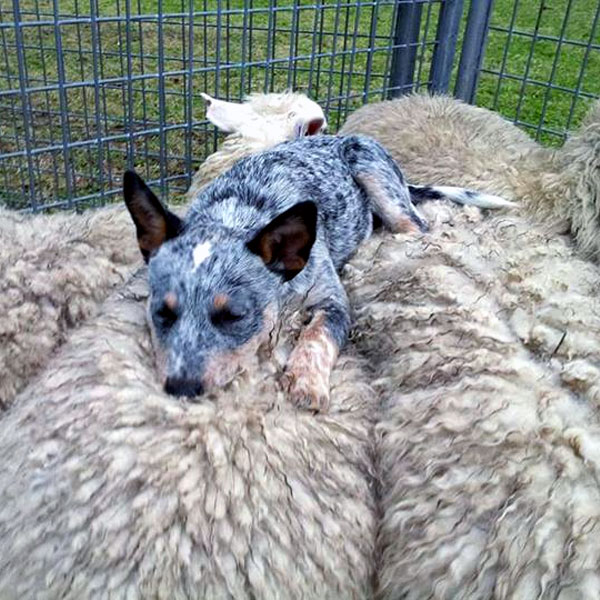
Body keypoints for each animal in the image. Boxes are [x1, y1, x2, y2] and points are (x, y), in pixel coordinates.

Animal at [122, 134, 510, 410]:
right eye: (162, 313)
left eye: (233, 316)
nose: (181, 389)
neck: (236, 215)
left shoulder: (334, 302)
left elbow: (317, 335)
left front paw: (306, 381)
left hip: (380, 182)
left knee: (416, 226)